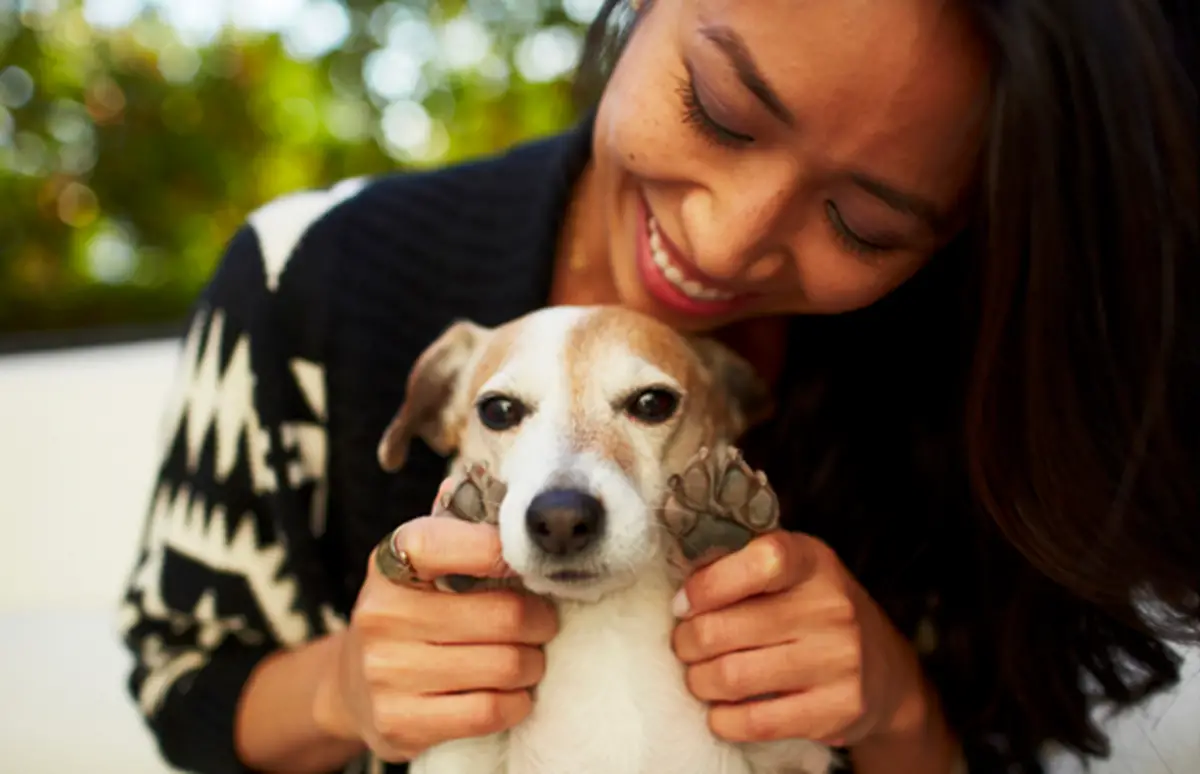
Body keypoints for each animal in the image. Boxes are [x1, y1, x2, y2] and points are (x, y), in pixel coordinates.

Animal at [374, 304, 835, 772]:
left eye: (652, 403)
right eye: (499, 410)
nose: (560, 518)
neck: (605, 620)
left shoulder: (794, 758)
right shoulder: (456, 757)